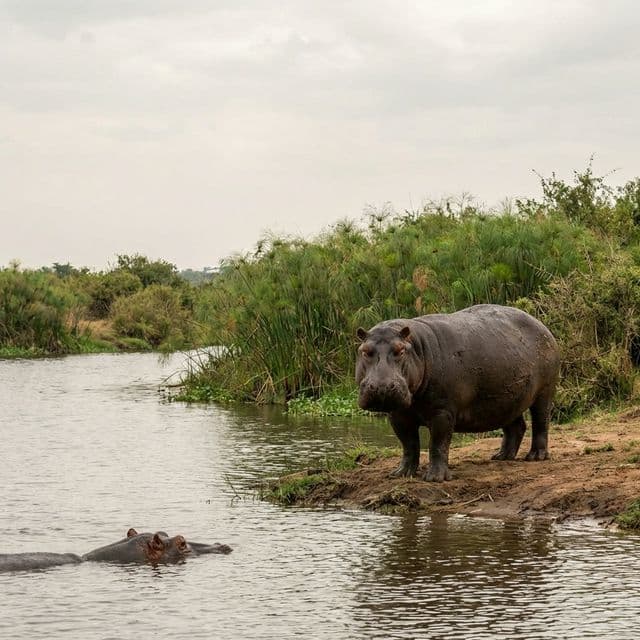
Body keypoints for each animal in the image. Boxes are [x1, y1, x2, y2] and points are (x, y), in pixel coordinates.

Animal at [356, 304, 560, 482]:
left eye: (400, 350)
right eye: (364, 351)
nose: (381, 387)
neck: (417, 348)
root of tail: (541, 325)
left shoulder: (442, 412)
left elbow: (438, 444)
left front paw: (435, 478)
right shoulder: (398, 414)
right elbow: (408, 445)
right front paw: (400, 474)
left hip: (544, 392)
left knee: (541, 422)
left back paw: (535, 457)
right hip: (508, 397)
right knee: (516, 426)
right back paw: (501, 456)